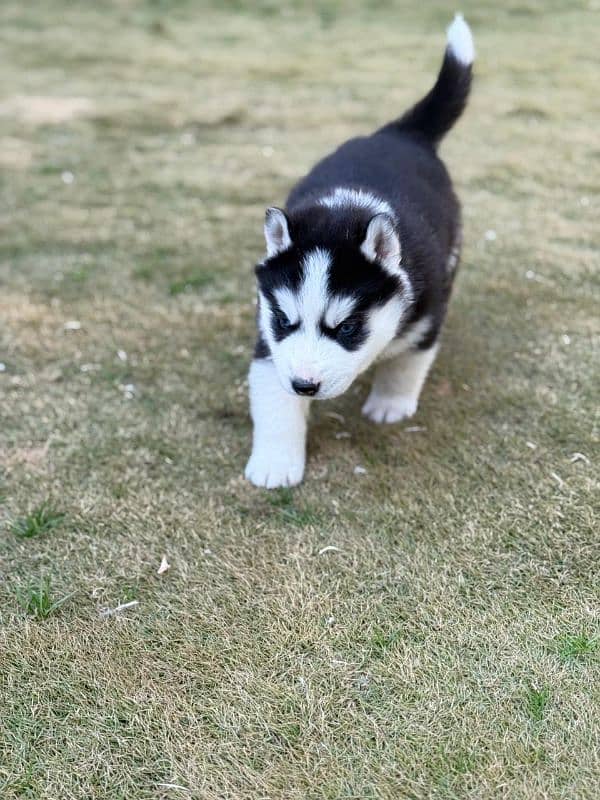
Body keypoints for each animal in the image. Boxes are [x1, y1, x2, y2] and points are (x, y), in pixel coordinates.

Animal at [244, 14, 474, 488]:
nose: (305, 386)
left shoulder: (426, 314)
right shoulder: (270, 343)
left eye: (348, 328)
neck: (347, 211)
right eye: (283, 320)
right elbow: (274, 399)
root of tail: (399, 134)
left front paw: (390, 404)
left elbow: (406, 364)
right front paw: (275, 463)